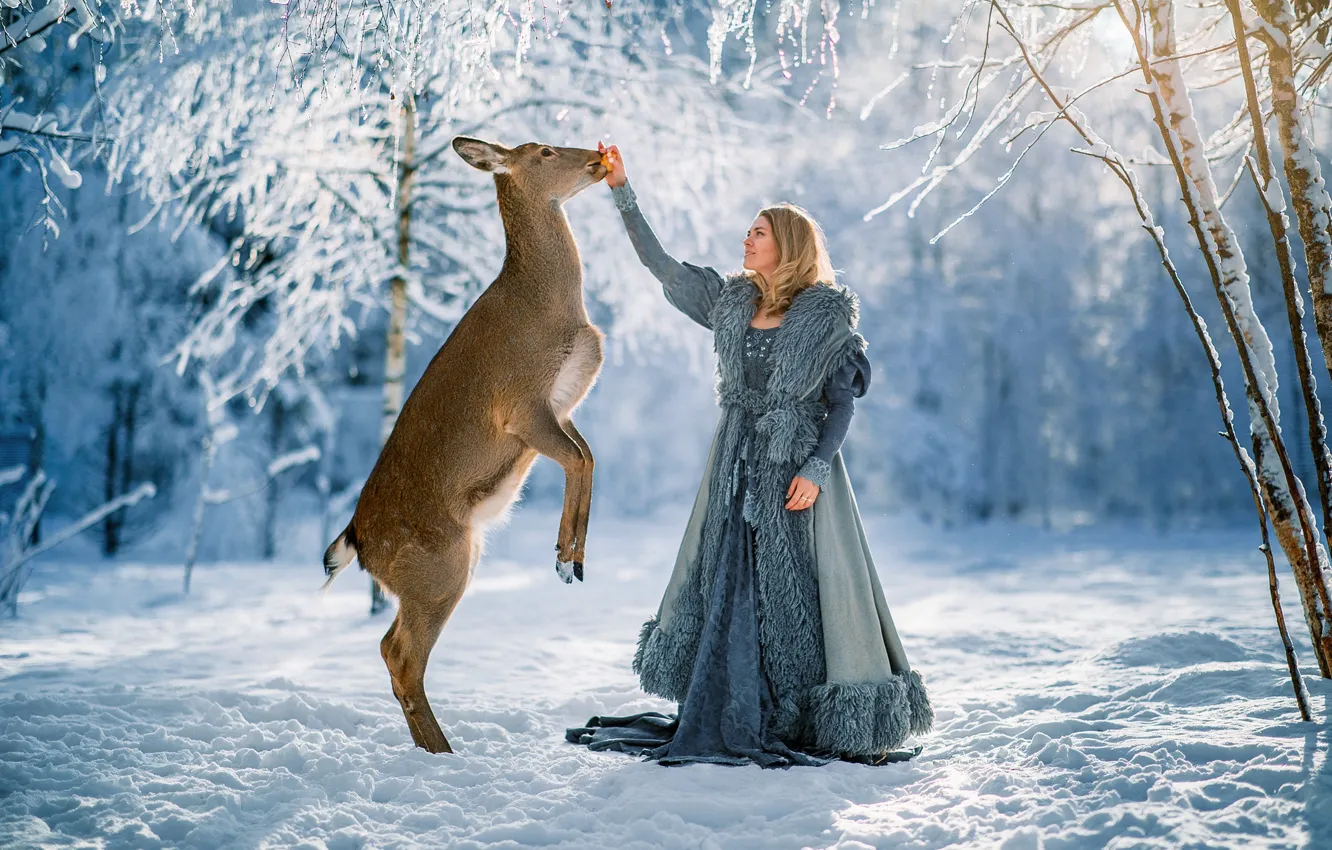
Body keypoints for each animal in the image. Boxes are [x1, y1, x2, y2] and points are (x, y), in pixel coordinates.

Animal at [322, 136, 610, 756]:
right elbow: (578, 460)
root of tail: (358, 541)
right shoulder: (521, 406)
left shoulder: (560, 409)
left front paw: (573, 556)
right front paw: (565, 558)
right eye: (545, 150)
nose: (599, 159)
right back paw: (444, 753)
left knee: (389, 646)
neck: (550, 307)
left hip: (446, 566)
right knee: (402, 655)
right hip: (439, 566)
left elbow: (589, 456)